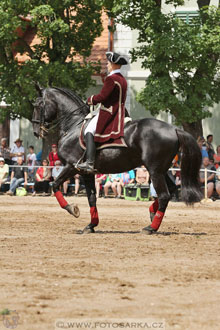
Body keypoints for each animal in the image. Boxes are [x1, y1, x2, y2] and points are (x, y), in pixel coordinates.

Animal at [31, 86, 202, 233]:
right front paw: (91, 225)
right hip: (162, 170)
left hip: (154, 171)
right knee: (171, 190)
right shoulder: (87, 173)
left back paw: (151, 228)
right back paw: (152, 213)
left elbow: (55, 185)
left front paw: (73, 209)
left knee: (165, 195)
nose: (35, 131)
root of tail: (174, 128)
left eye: (38, 105)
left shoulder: (71, 166)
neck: (73, 125)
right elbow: (91, 197)